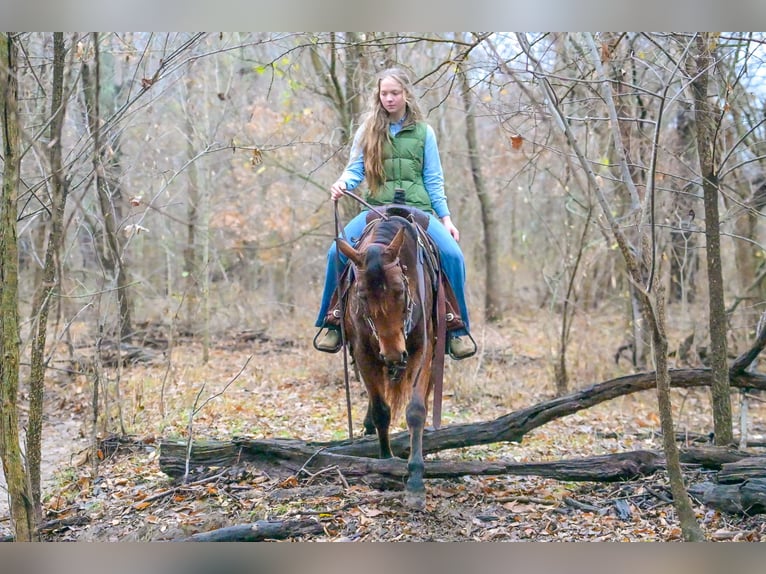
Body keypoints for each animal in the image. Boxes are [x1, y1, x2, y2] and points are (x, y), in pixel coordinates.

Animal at [336, 209, 440, 509]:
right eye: (361, 296)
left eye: (400, 290)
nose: (394, 354)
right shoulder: (363, 353)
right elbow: (382, 410)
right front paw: (384, 461)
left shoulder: (421, 350)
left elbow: (416, 411)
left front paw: (415, 481)